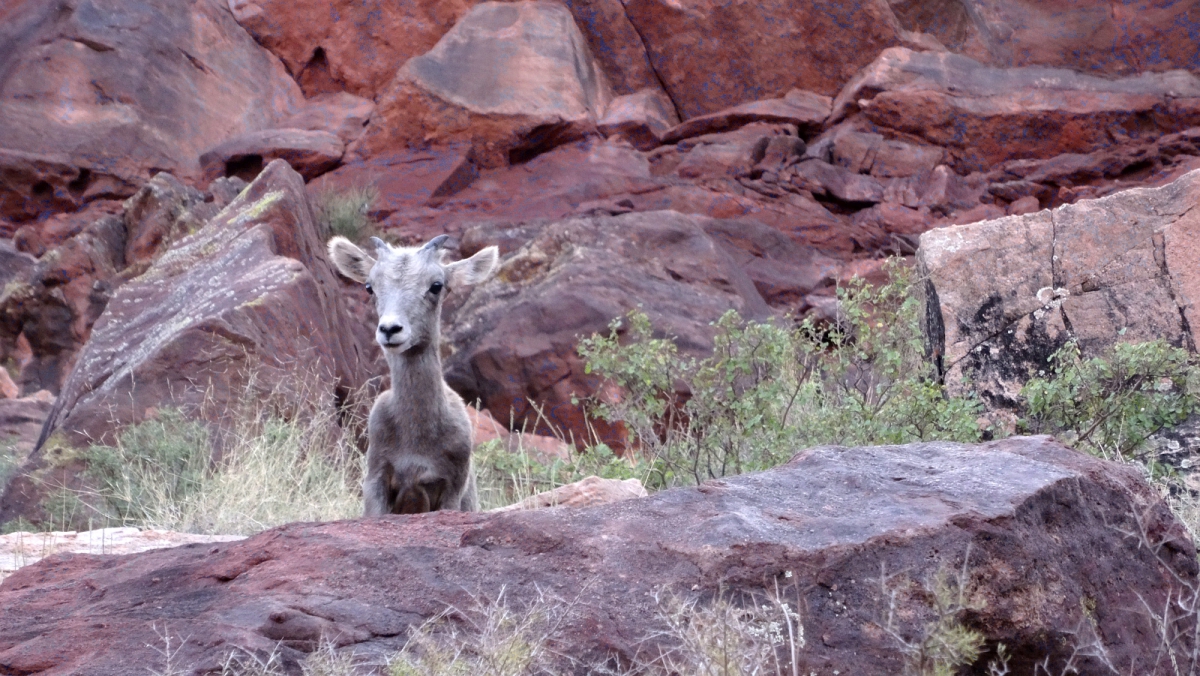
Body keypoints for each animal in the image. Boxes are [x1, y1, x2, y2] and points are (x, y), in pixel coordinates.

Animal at [326, 235, 499, 516]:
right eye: (369, 287)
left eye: (436, 286)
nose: (390, 329)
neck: (417, 437)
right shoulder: (376, 480)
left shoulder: (452, 488)